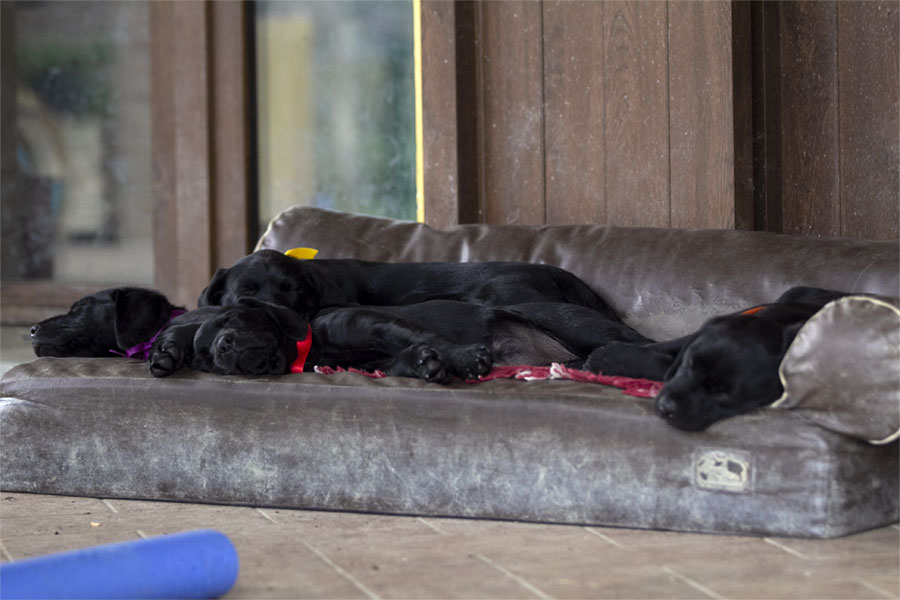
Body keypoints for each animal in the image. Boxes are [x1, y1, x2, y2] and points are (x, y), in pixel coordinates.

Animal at [586, 286, 849, 431]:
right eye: (688, 365)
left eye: (723, 394)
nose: (666, 407)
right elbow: (670, 347)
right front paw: (611, 355)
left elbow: (663, 364)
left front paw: (609, 359)